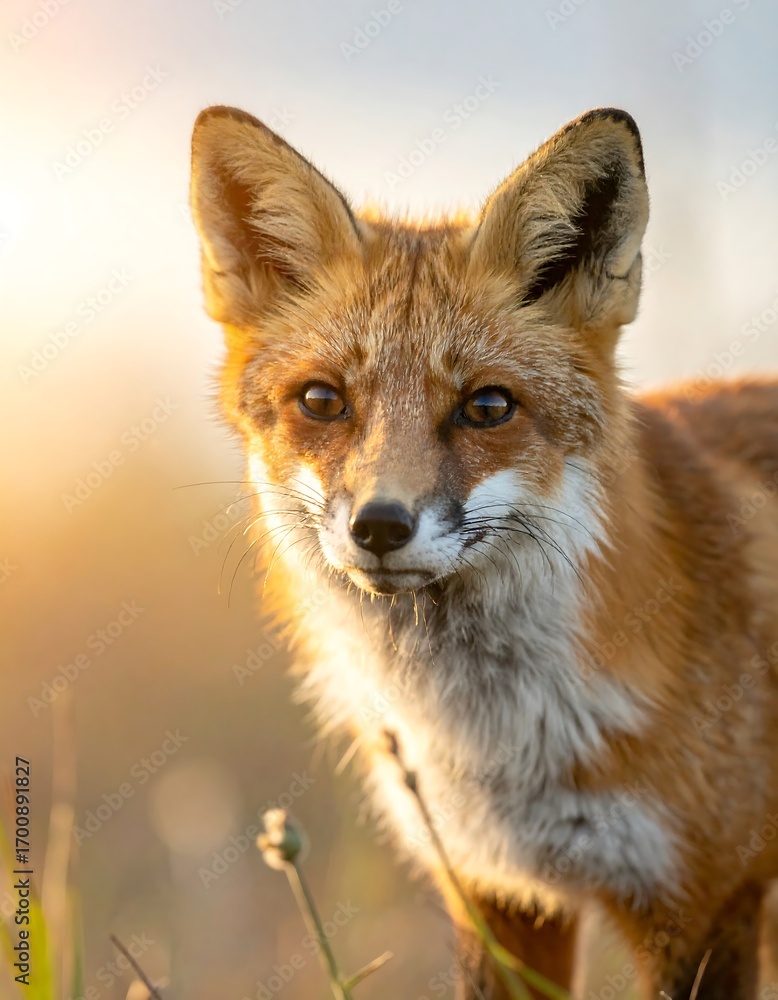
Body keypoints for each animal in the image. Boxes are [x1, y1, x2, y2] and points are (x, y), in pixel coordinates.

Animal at [189, 105, 778, 999]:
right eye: (323, 401)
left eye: (488, 407)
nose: (380, 525)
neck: (502, 744)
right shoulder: (497, 890)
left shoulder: (709, 902)